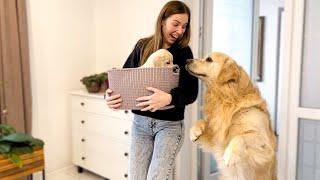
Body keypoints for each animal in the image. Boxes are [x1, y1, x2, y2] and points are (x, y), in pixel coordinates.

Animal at [186, 52, 276, 180]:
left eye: (209, 59)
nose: (187, 60)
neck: (228, 100)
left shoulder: (265, 146)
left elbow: (240, 137)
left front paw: (230, 154)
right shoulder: (216, 138)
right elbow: (202, 121)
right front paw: (194, 131)